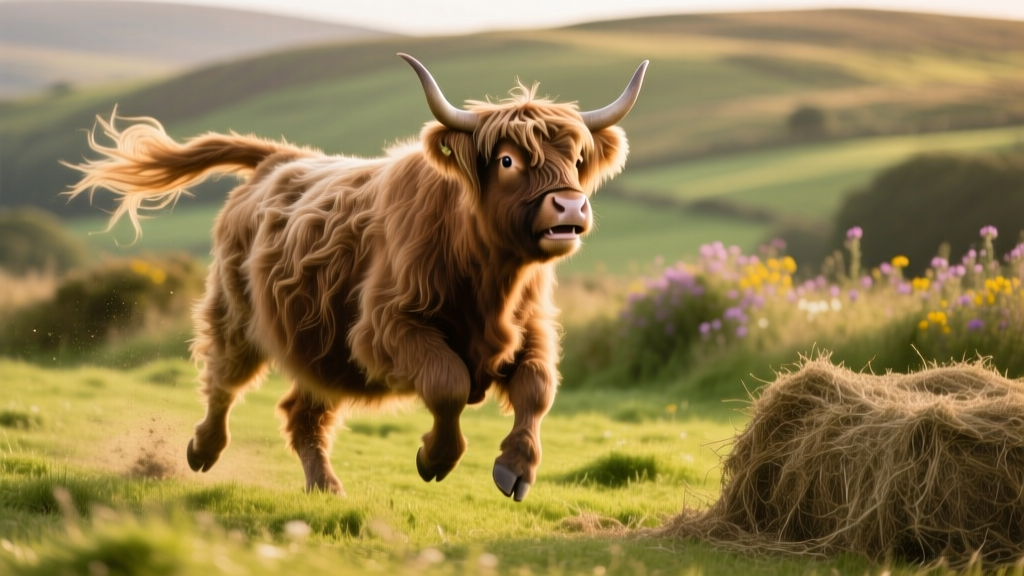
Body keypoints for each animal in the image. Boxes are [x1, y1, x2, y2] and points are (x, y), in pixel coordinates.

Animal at [66, 54, 647, 501]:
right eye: (507, 160)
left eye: (577, 158)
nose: (569, 206)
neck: (490, 282)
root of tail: (280, 157)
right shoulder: (386, 328)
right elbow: (448, 383)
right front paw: (435, 458)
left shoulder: (531, 329)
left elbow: (537, 389)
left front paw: (515, 469)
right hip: (237, 315)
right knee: (223, 380)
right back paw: (202, 449)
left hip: (321, 351)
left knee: (300, 412)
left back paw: (325, 486)